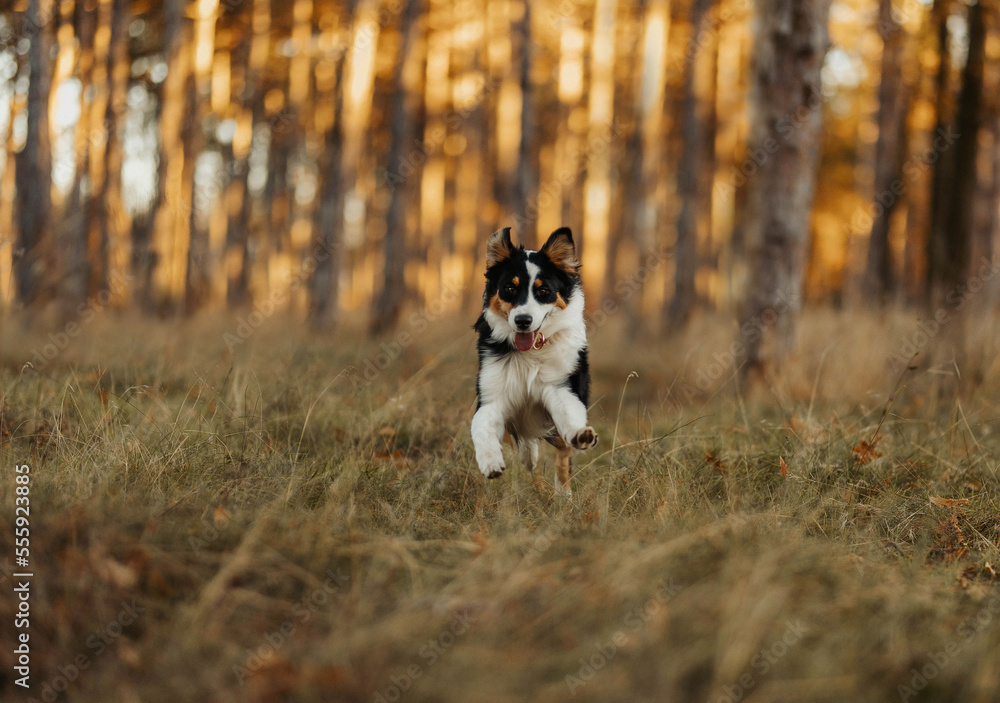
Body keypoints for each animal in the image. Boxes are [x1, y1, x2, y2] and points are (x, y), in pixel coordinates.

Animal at [472, 228, 596, 498]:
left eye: (543, 291)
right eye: (509, 288)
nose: (523, 321)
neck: (529, 353)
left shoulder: (559, 385)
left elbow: (569, 415)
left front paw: (580, 434)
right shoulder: (492, 395)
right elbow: (481, 427)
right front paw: (490, 462)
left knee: (562, 454)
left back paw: (564, 495)